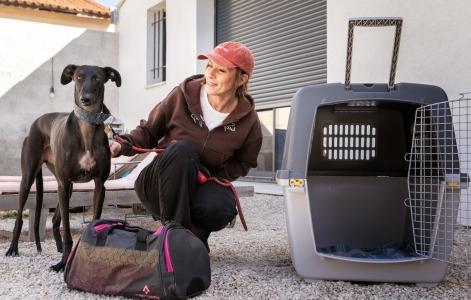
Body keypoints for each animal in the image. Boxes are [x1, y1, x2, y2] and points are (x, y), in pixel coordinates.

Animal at [5, 64, 121, 270]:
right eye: (78, 77)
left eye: (98, 78)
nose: (85, 99)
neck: (86, 128)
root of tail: (37, 121)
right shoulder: (65, 182)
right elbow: (67, 229)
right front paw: (63, 262)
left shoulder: (99, 185)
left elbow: (94, 220)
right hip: (31, 179)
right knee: (20, 218)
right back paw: (13, 248)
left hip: (66, 186)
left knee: (55, 219)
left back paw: (58, 249)